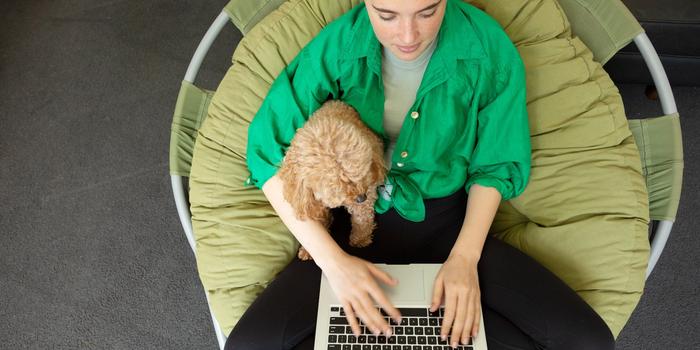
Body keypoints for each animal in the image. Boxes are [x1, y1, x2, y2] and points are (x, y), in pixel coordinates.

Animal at [278, 100, 388, 258]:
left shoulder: (368, 189)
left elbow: (362, 218)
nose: (361, 198)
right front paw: (308, 250)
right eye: (335, 187)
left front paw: (360, 239)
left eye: (360, 173)